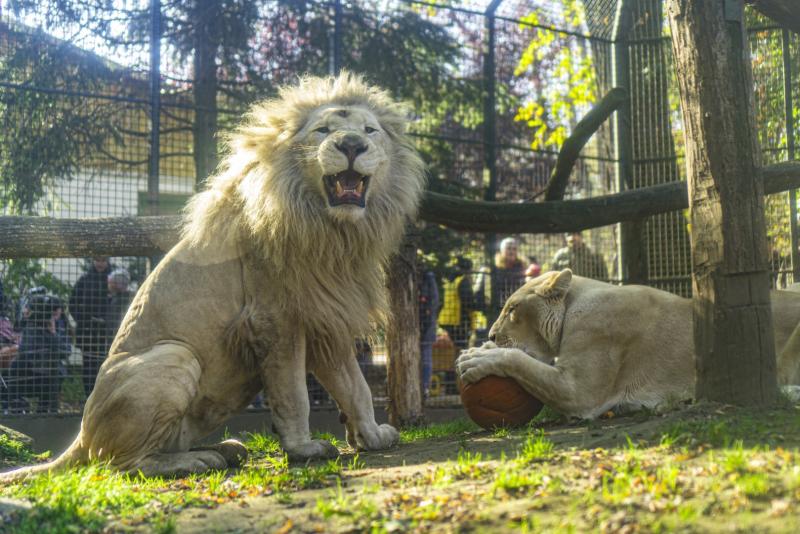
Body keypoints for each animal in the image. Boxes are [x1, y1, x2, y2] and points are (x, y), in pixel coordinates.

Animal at [3, 72, 428, 482]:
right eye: (323, 130)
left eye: (370, 131)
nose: (353, 144)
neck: (332, 232)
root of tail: (81, 435)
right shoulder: (274, 320)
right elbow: (294, 394)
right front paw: (303, 449)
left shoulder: (326, 319)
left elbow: (355, 386)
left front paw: (372, 435)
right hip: (175, 355)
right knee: (118, 465)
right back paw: (196, 461)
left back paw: (226, 449)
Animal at [460, 270, 800, 420]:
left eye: (512, 309)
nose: (491, 335)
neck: (574, 303)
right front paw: (482, 350)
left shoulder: (580, 393)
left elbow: (520, 360)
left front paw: (474, 358)